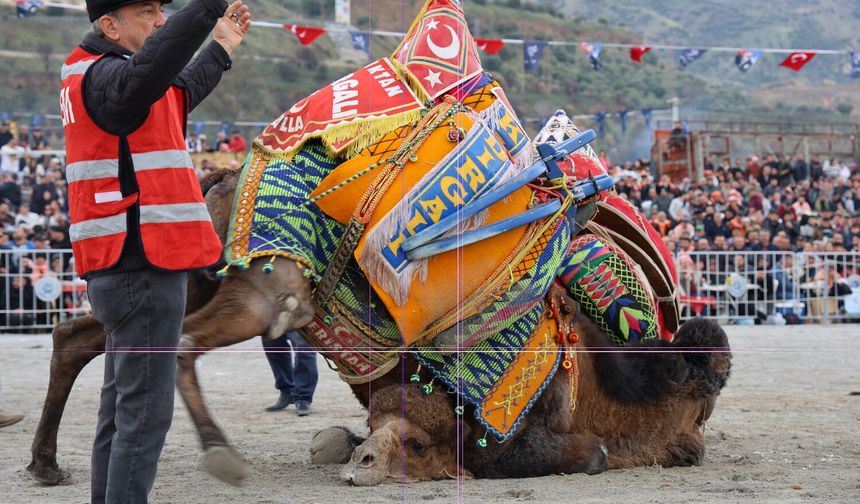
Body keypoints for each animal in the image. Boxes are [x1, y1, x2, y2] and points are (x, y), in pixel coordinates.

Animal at [26, 170, 728, 488]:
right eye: (701, 405)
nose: (692, 447)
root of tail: (220, 176)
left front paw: (345, 447)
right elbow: (583, 454)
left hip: (190, 275)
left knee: (81, 336)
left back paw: (45, 464)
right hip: (260, 290)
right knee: (184, 342)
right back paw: (220, 454)